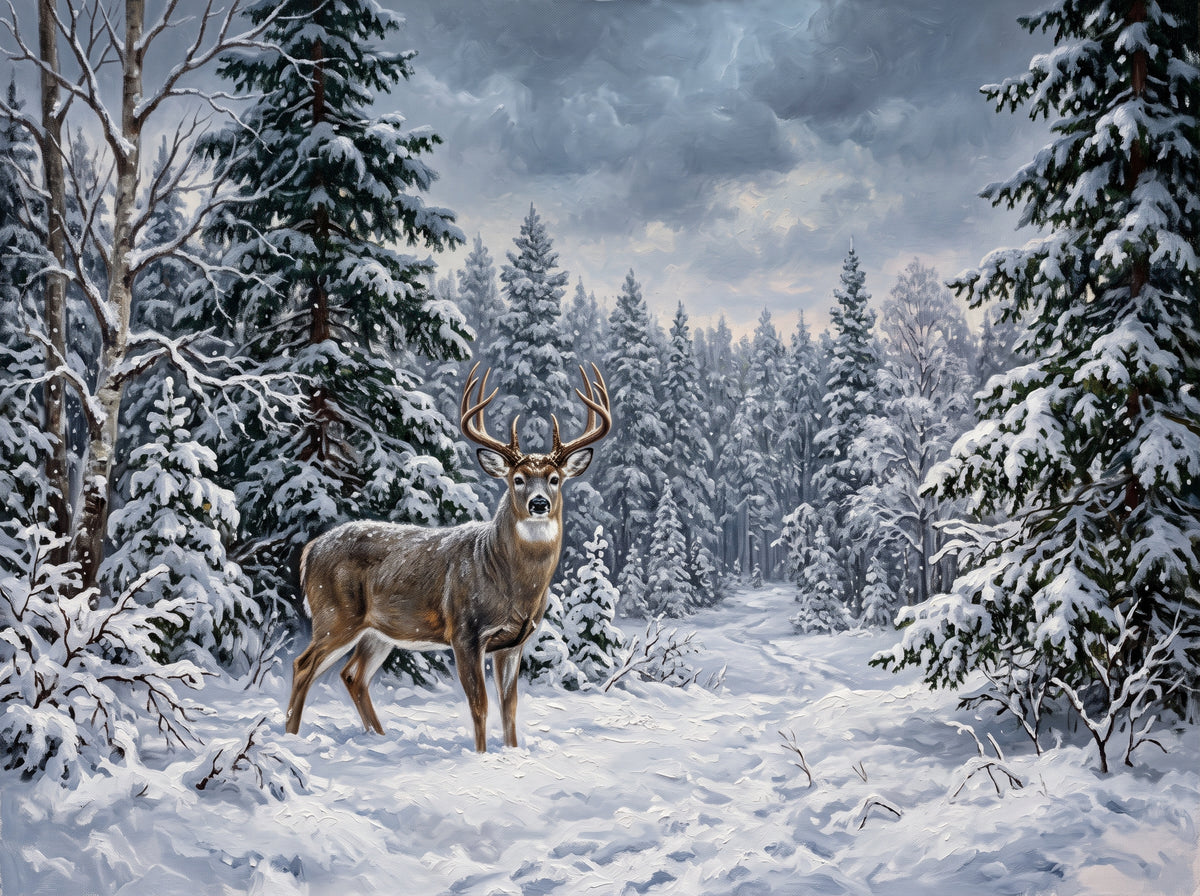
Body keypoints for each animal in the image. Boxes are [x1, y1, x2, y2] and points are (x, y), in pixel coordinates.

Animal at [284, 362, 612, 752]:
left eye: (555, 479)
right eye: (517, 479)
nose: (539, 504)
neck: (513, 582)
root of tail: (310, 550)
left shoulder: (514, 643)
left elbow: (510, 708)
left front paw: (512, 752)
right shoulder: (465, 630)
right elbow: (479, 704)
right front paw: (481, 756)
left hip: (377, 631)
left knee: (352, 675)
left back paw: (378, 737)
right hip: (335, 614)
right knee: (303, 665)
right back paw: (289, 737)